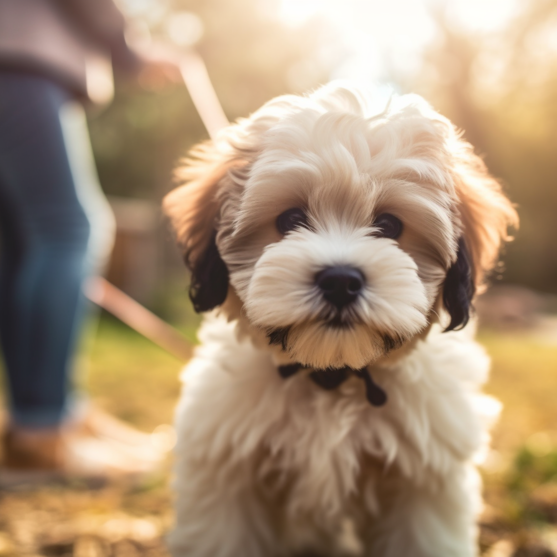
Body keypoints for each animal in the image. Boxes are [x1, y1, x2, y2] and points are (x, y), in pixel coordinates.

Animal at [163, 82, 516, 556]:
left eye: (389, 225)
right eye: (291, 219)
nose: (340, 281)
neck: (331, 377)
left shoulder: (424, 479)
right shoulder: (225, 465)